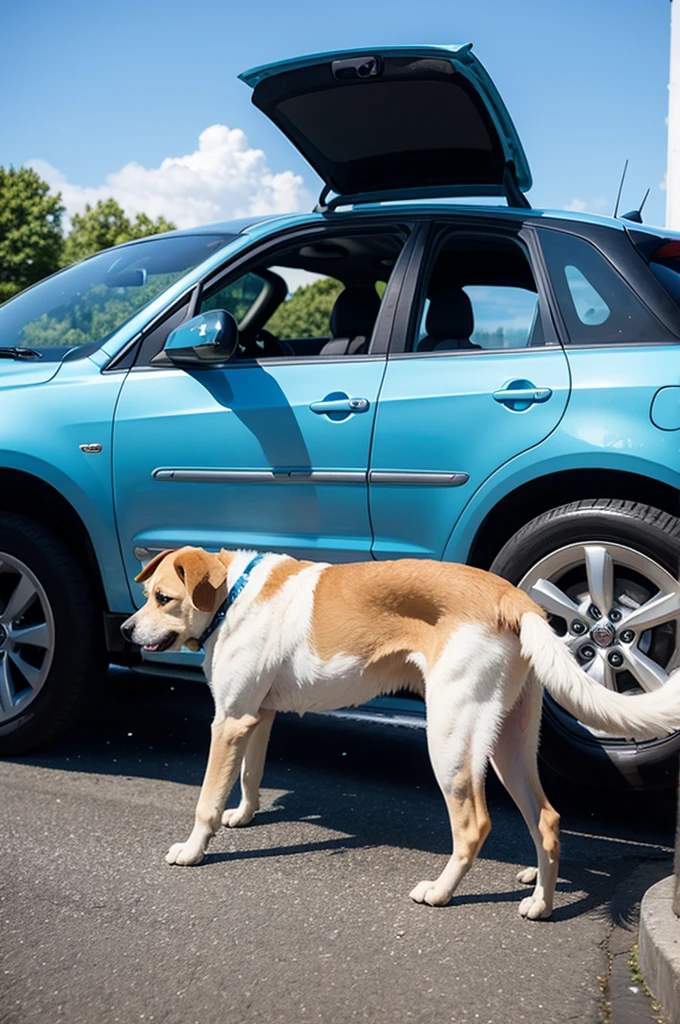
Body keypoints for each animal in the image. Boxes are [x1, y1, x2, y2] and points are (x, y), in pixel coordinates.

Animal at [122, 548, 680, 925]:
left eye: (163, 599)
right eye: (149, 596)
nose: (126, 631)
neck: (234, 597)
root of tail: (511, 597)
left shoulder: (229, 721)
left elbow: (207, 799)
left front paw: (194, 849)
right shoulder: (257, 716)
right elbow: (250, 775)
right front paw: (243, 814)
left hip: (451, 738)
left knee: (474, 826)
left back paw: (441, 891)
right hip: (508, 743)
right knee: (545, 817)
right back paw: (541, 897)